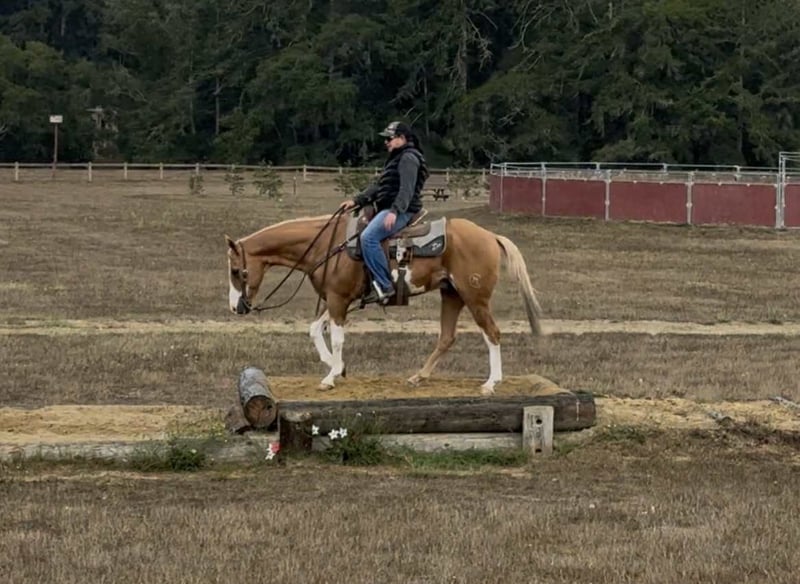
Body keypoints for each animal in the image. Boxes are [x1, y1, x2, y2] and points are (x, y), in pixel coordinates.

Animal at [225, 209, 543, 394]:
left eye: (236, 271)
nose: (235, 307)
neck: (327, 245)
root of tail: (489, 235)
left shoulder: (338, 299)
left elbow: (337, 339)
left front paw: (331, 377)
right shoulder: (336, 299)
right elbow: (315, 330)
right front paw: (337, 368)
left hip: (474, 297)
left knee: (492, 333)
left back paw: (491, 383)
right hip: (451, 294)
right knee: (447, 337)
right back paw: (418, 377)